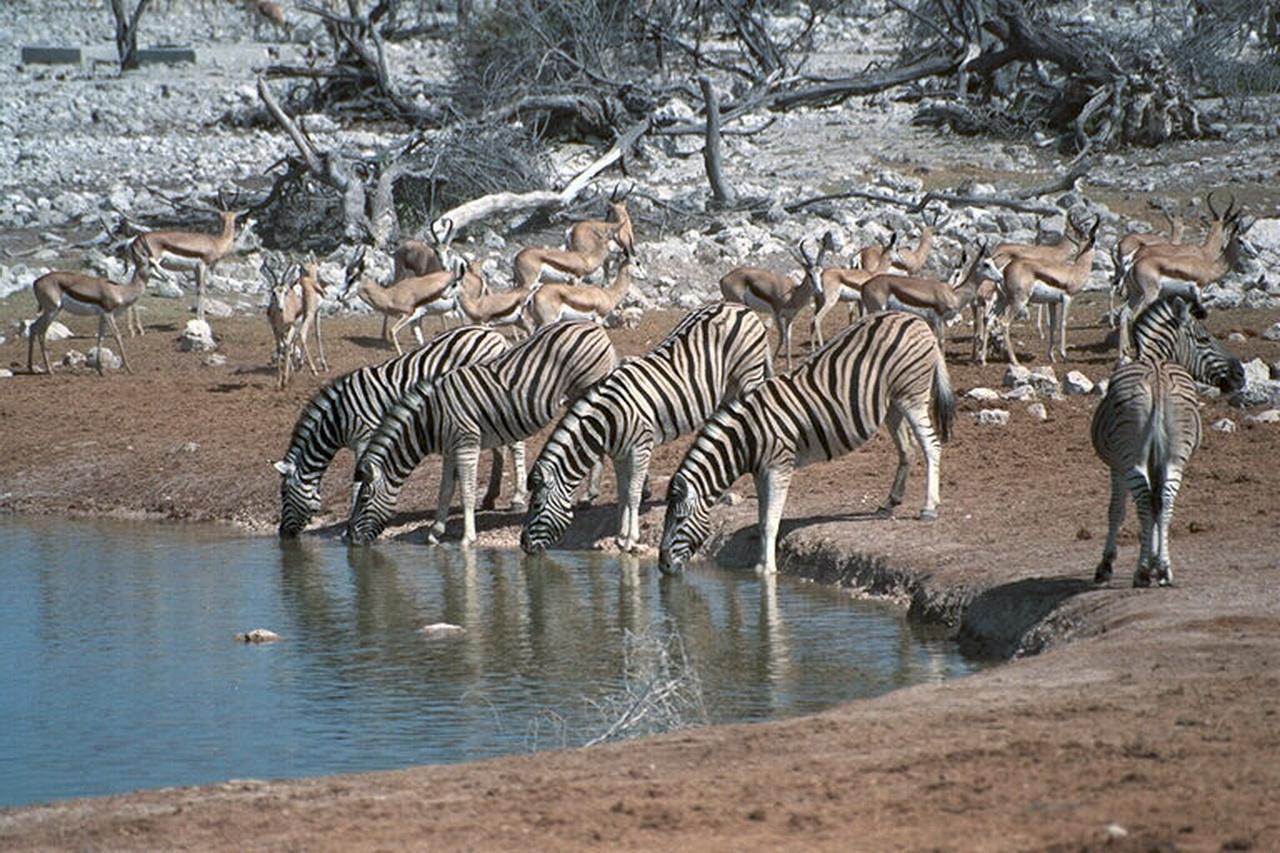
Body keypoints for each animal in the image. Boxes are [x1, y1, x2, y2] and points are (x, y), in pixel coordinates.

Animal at [275, 322, 509, 535]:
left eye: (284, 493)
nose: (282, 532)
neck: (339, 417)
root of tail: (492, 333)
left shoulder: (366, 436)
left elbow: (358, 482)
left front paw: (348, 524)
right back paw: (491, 497)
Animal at [345, 318, 614, 545]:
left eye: (364, 499)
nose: (351, 539)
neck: (431, 417)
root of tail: (594, 325)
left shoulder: (466, 444)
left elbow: (466, 490)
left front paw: (467, 538)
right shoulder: (450, 450)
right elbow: (445, 490)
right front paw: (435, 532)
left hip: (584, 390)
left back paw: (589, 494)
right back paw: (589, 495)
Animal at [517, 302, 768, 555]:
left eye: (536, 505)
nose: (523, 545)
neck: (608, 418)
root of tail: (737, 306)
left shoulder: (641, 448)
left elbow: (633, 494)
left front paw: (630, 539)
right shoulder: (619, 455)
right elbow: (622, 494)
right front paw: (620, 536)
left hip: (749, 375)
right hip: (728, 386)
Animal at [660, 308, 952, 573]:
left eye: (680, 520)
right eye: (666, 518)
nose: (663, 566)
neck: (746, 438)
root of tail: (914, 318)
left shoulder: (779, 466)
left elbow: (771, 521)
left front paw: (768, 571)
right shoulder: (761, 471)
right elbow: (762, 518)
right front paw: (761, 564)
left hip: (912, 395)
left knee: (931, 445)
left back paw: (929, 508)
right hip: (892, 403)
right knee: (907, 448)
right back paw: (890, 502)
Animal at [1085, 294, 1244, 584]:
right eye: (1204, 339)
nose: (1241, 375)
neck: (1154, 357)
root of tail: (1157, 377)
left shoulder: (1117, 465)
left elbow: (1117, 510)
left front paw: (1107, 564)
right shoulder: (1153, 461)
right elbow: (1156, 505)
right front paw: (1156, 562)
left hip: (1133, 456)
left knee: (1145, 500)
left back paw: (1142, 571)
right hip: (1174, 455)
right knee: (1166, 499)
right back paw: (1164, 569)